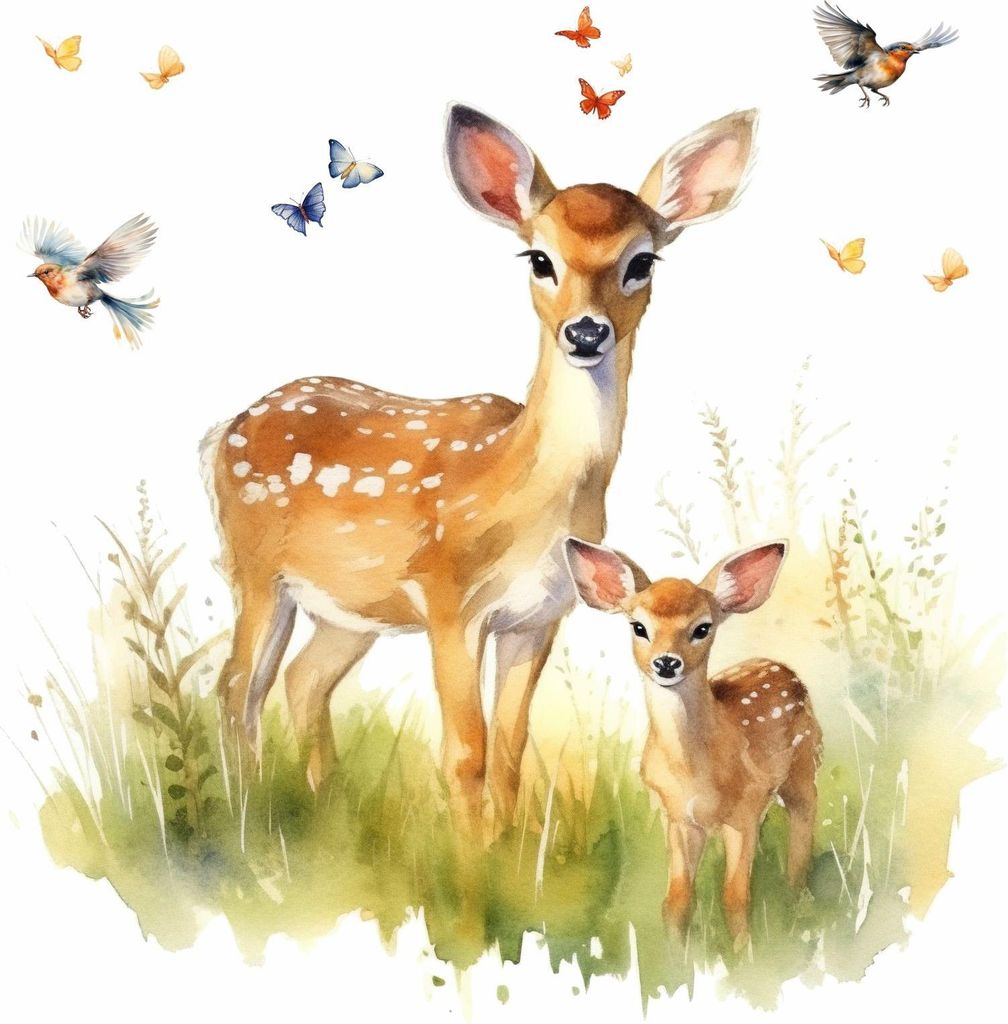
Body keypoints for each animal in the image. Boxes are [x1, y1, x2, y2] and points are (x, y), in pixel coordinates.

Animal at [200, 103, 758, 841]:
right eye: (540, 258)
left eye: (642, 260)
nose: (586, 332)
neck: (521, 495)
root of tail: (224, 431)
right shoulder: (449, 603)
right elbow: (466, 752)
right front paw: (469, 860)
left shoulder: (537, 617)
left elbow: (511, 752)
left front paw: (506, 852)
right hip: (256, 567)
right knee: (236, 686)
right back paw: (250, 822)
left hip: (348, 608)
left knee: (301, 680)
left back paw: (325, 812)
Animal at [564, 537, 822, 945]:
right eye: (638, 626)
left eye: (702, 628)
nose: (666, 663)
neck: (695, 771)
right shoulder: (678, 817)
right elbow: (677, 900)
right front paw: (677, 952)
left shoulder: (743, 813)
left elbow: (735, 897)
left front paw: (744, 953)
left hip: (803, 764)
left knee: (803, 824)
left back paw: (798, 900)